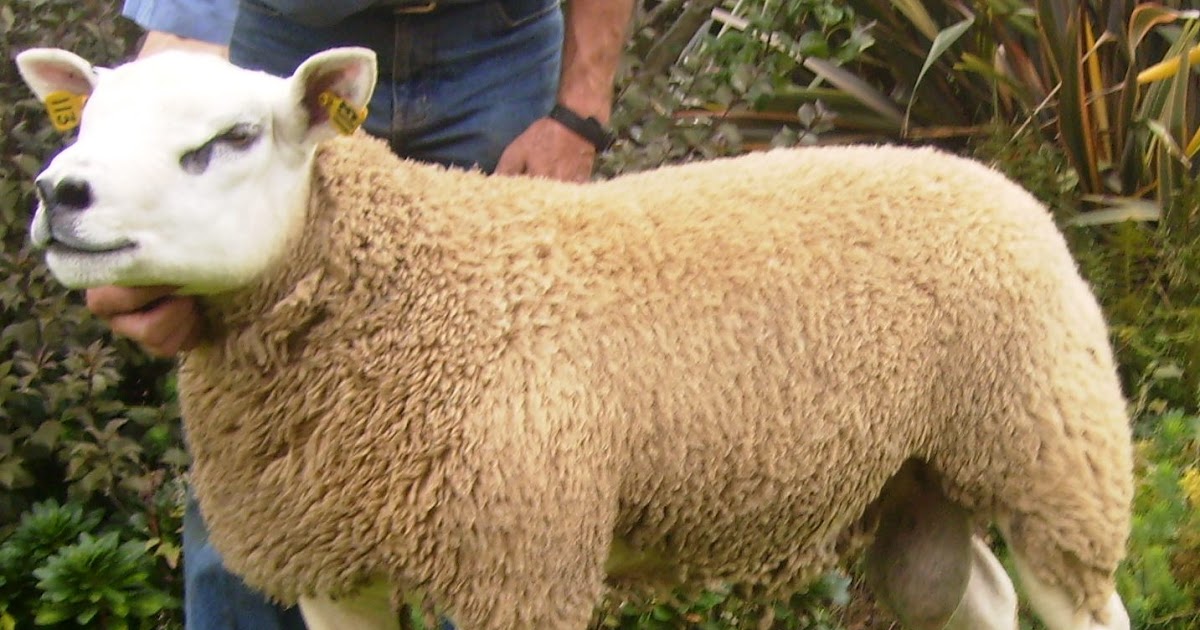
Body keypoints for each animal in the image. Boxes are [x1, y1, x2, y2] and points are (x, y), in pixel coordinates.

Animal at [17, 46, 1134, 630]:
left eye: (234, 139)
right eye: (83, 122)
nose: (59, 194)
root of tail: (980, 172)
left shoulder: (519, 558)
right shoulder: (336, 566)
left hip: (1052, 454)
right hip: (923, 474)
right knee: (979, 594)